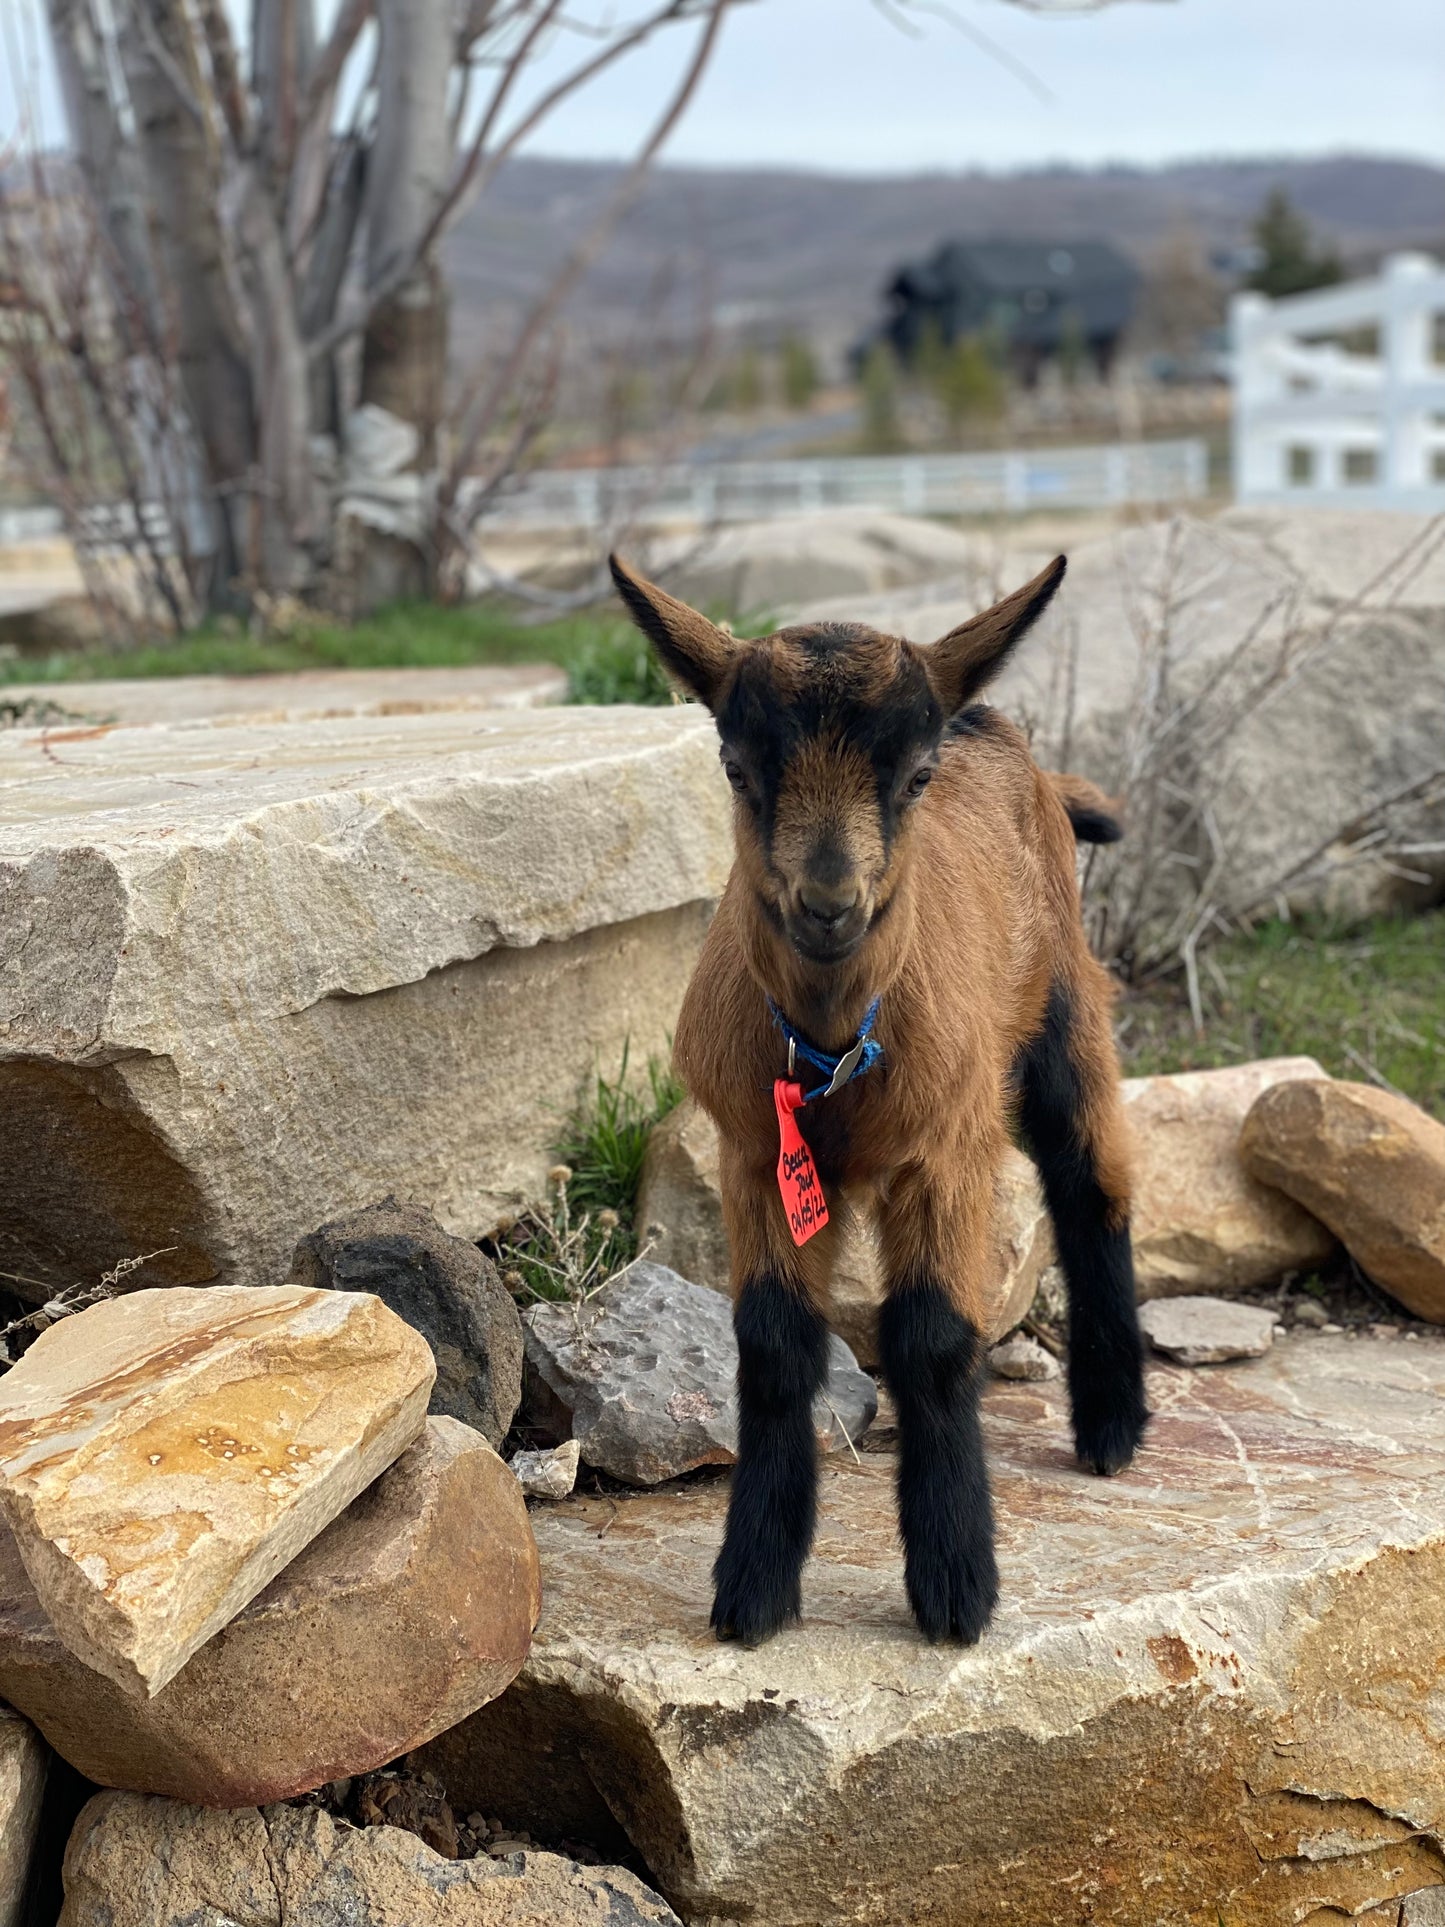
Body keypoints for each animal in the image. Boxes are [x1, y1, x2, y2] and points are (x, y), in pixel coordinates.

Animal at [610, 551, 1148, 1647]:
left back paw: (1112, 1421)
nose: (828, 905)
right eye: (736, 767)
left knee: (1091, 1179)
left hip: (1064, 1004)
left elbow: (932, 1339)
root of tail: (987, 718)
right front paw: (753, 1583)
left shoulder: (941, 1150)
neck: (830, 1053)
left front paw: (955, 1584)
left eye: (913, 778)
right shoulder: (752, 1155)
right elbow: (772, 1345)